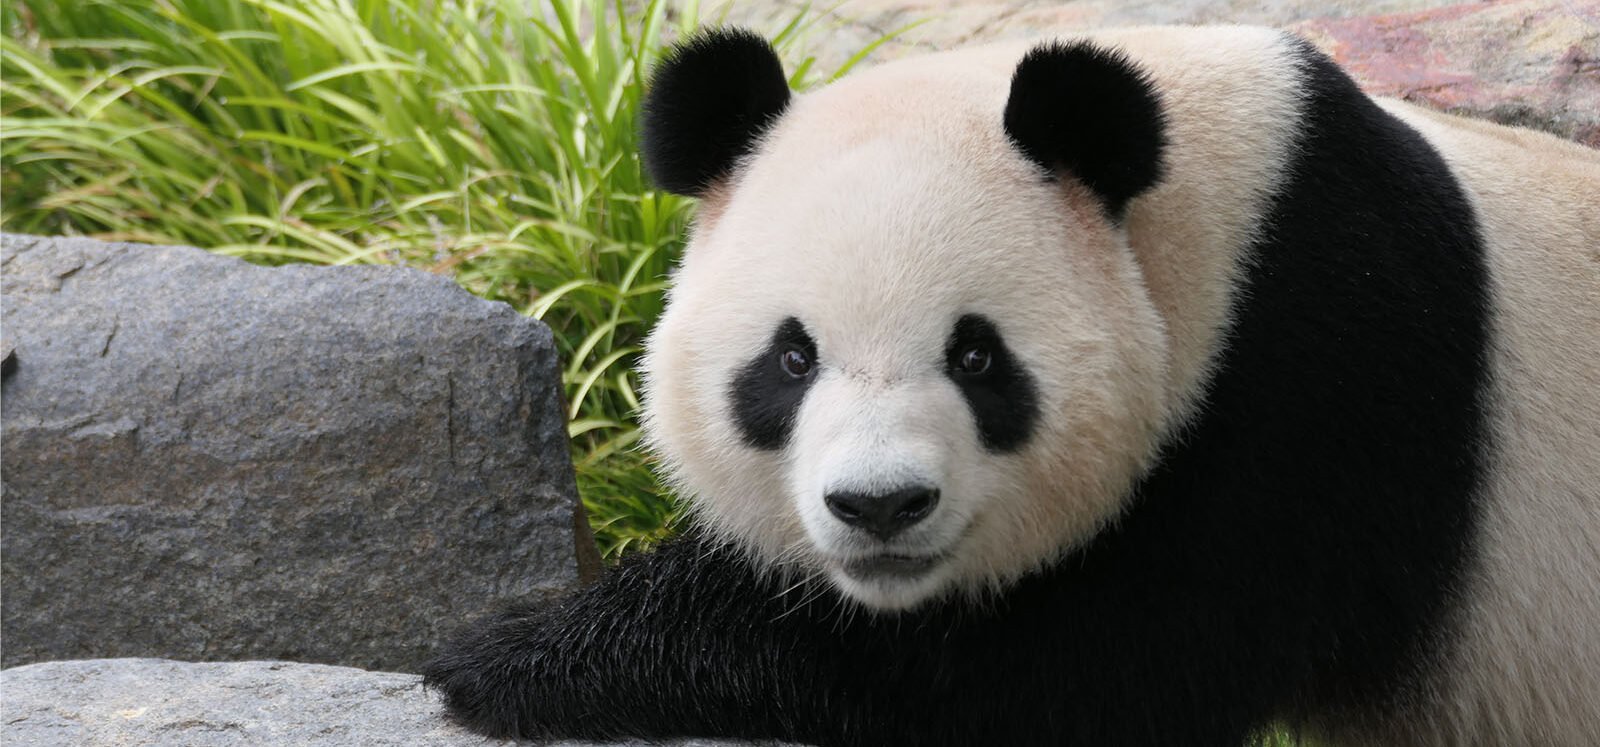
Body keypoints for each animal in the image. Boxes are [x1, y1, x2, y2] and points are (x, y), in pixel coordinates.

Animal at [424, 25, 1600, 746]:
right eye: (792, 359)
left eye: (976, 356)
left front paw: (510, 656)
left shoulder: (1315, 380)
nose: (881, 506)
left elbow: (1077, 672)